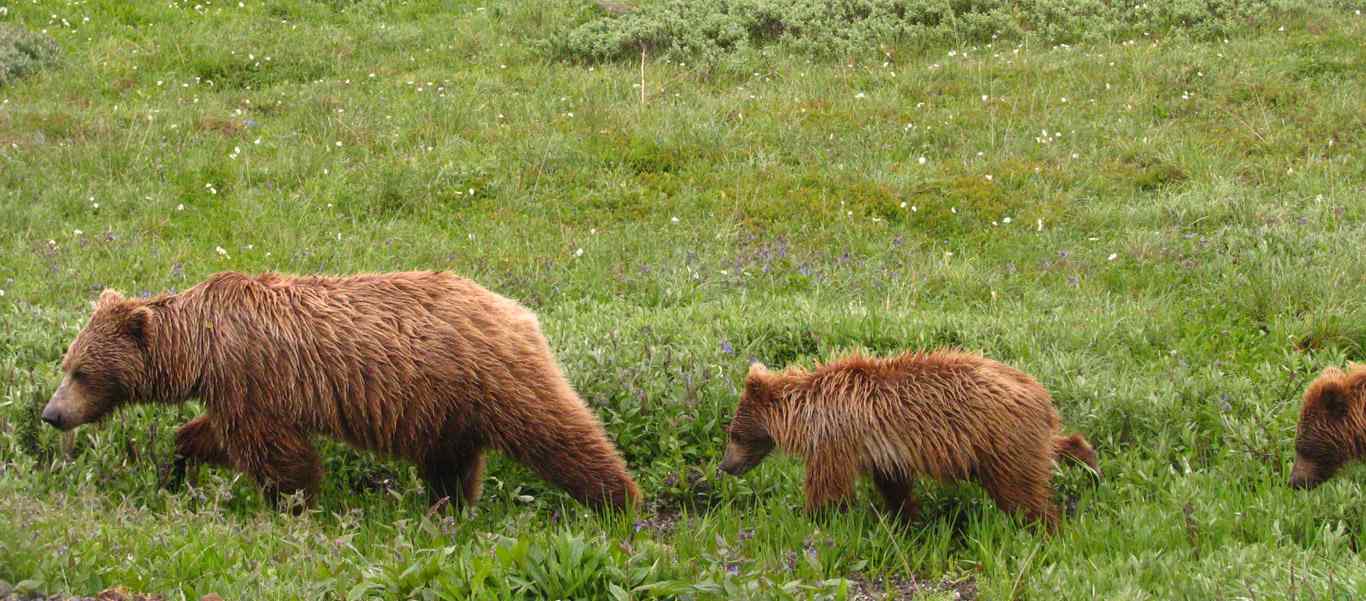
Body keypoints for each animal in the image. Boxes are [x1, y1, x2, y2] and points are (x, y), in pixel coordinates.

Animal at [42, 271, 639, 510]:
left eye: (81, 372)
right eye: (67, 363)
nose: (51, 414)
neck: (200, 346)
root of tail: (514, 308)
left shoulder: (250, 376)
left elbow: (275, 452)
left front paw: (291, 503)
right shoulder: (236, 388)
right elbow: (214, 433)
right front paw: (179, 462)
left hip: (492, 379)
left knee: (557, 432)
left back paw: (618, 501)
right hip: (444, 406)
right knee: (451, 461)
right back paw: (445, 509)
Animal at [721, 352, 1092, 529]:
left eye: (735, 435)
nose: (725, 466)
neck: (806, 412)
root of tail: (1040, 394)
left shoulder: (834, 439)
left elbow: (828, 487)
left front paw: (810, 517)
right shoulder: (881, 450)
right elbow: (894, 485)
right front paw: (906, 518)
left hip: (998, 440)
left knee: (1020, 493)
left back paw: (1046, 528)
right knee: (1047, 453)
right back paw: (1089, 462)